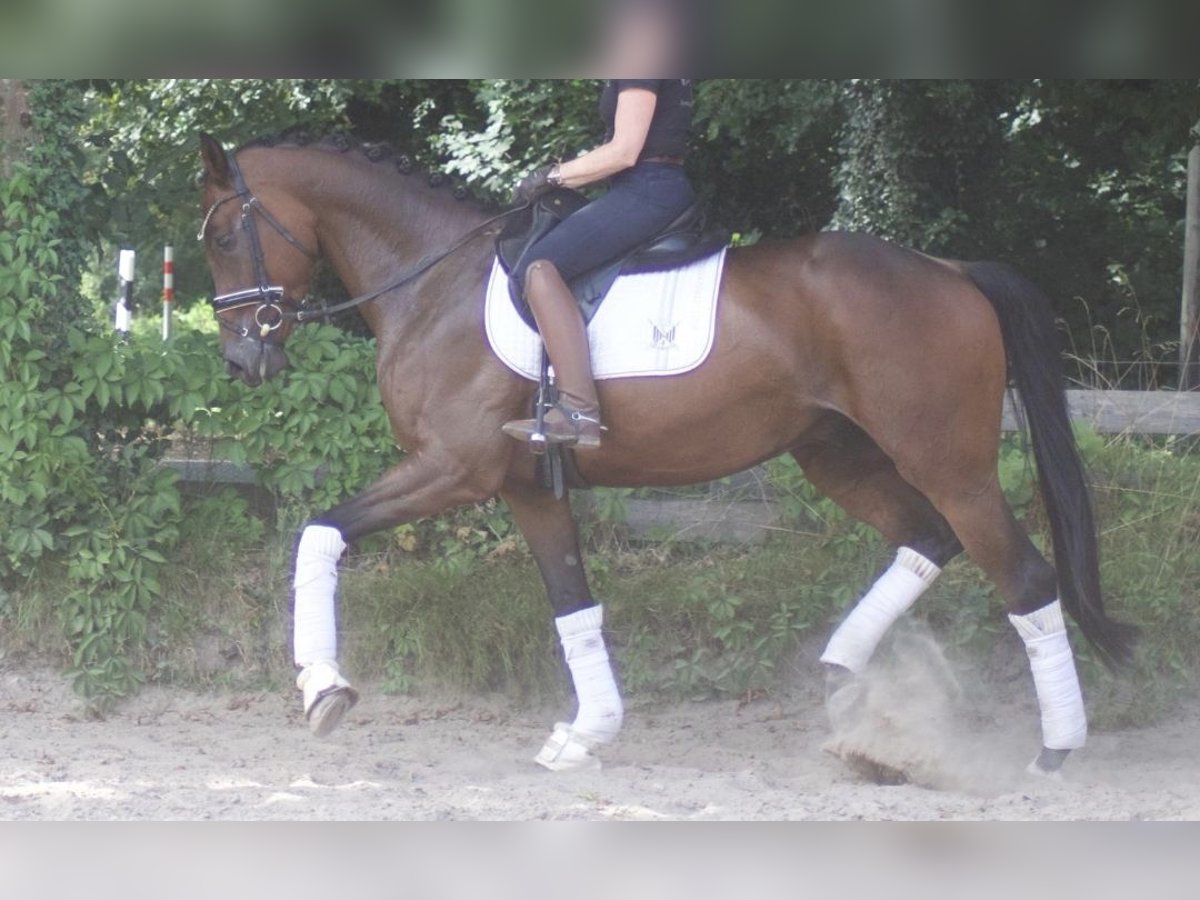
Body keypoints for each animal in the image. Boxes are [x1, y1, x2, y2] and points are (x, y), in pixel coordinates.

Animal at [196, 131, 1133, 777]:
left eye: (219, 237)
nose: (242, 361)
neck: (434, 284)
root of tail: (952, 270)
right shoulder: (529, 487)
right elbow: (572, 604)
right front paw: (586, 735)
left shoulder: (452, 470)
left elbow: (319, 533)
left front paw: (323, 689)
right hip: (839, 455)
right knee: (927, 539)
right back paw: (844, 683)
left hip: (949, 463)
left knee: (1025, 578)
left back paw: (1054, 751)